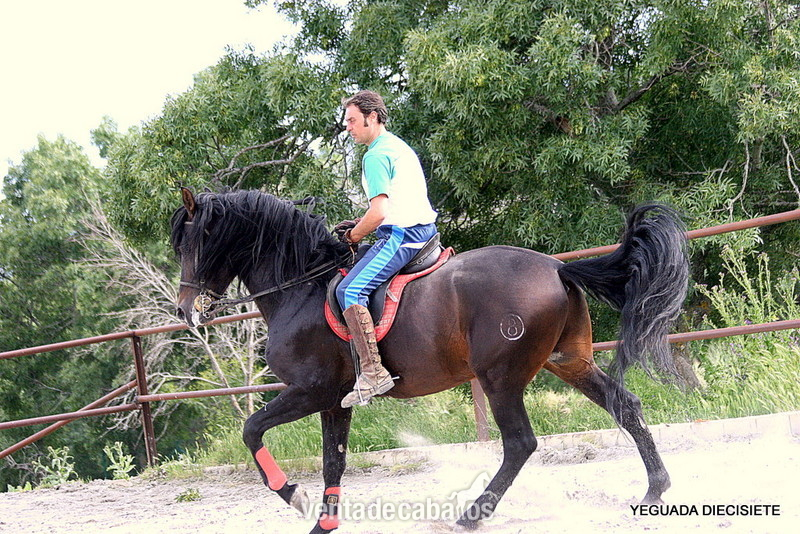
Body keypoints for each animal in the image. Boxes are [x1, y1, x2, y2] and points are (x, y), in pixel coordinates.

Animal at [171, 188, 688, 533]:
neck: (302, 287)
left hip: (500, 377)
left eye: (193, 244)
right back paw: (655, 488)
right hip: (569, 362)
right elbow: (333, 462)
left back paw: (471, 515)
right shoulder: (336, 400)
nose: (185, 311)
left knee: (520, 443)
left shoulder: (311, 391)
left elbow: (251, 430)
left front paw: (293, 495)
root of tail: (557, 267)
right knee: (626, 405)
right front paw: (324, 523)